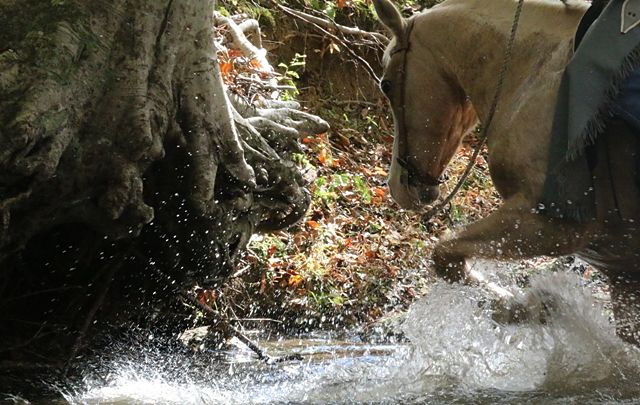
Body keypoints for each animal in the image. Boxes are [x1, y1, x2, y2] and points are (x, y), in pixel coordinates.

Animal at [372, 0, 640, 344]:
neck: (539, 74)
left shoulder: (549, 223)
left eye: (387, 84)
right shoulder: (623, 267)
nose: (397, 186)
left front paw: (524, 305)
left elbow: (444, 253)